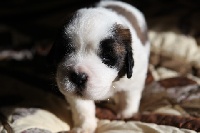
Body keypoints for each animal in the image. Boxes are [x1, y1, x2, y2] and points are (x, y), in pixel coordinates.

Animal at [48, 0, 148, 132]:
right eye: (65, 51)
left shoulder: (135, 78)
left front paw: (127, 114)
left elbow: (129, 96)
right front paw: (84, 127)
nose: (78, 77)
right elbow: (82, 108)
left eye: (106, 57)